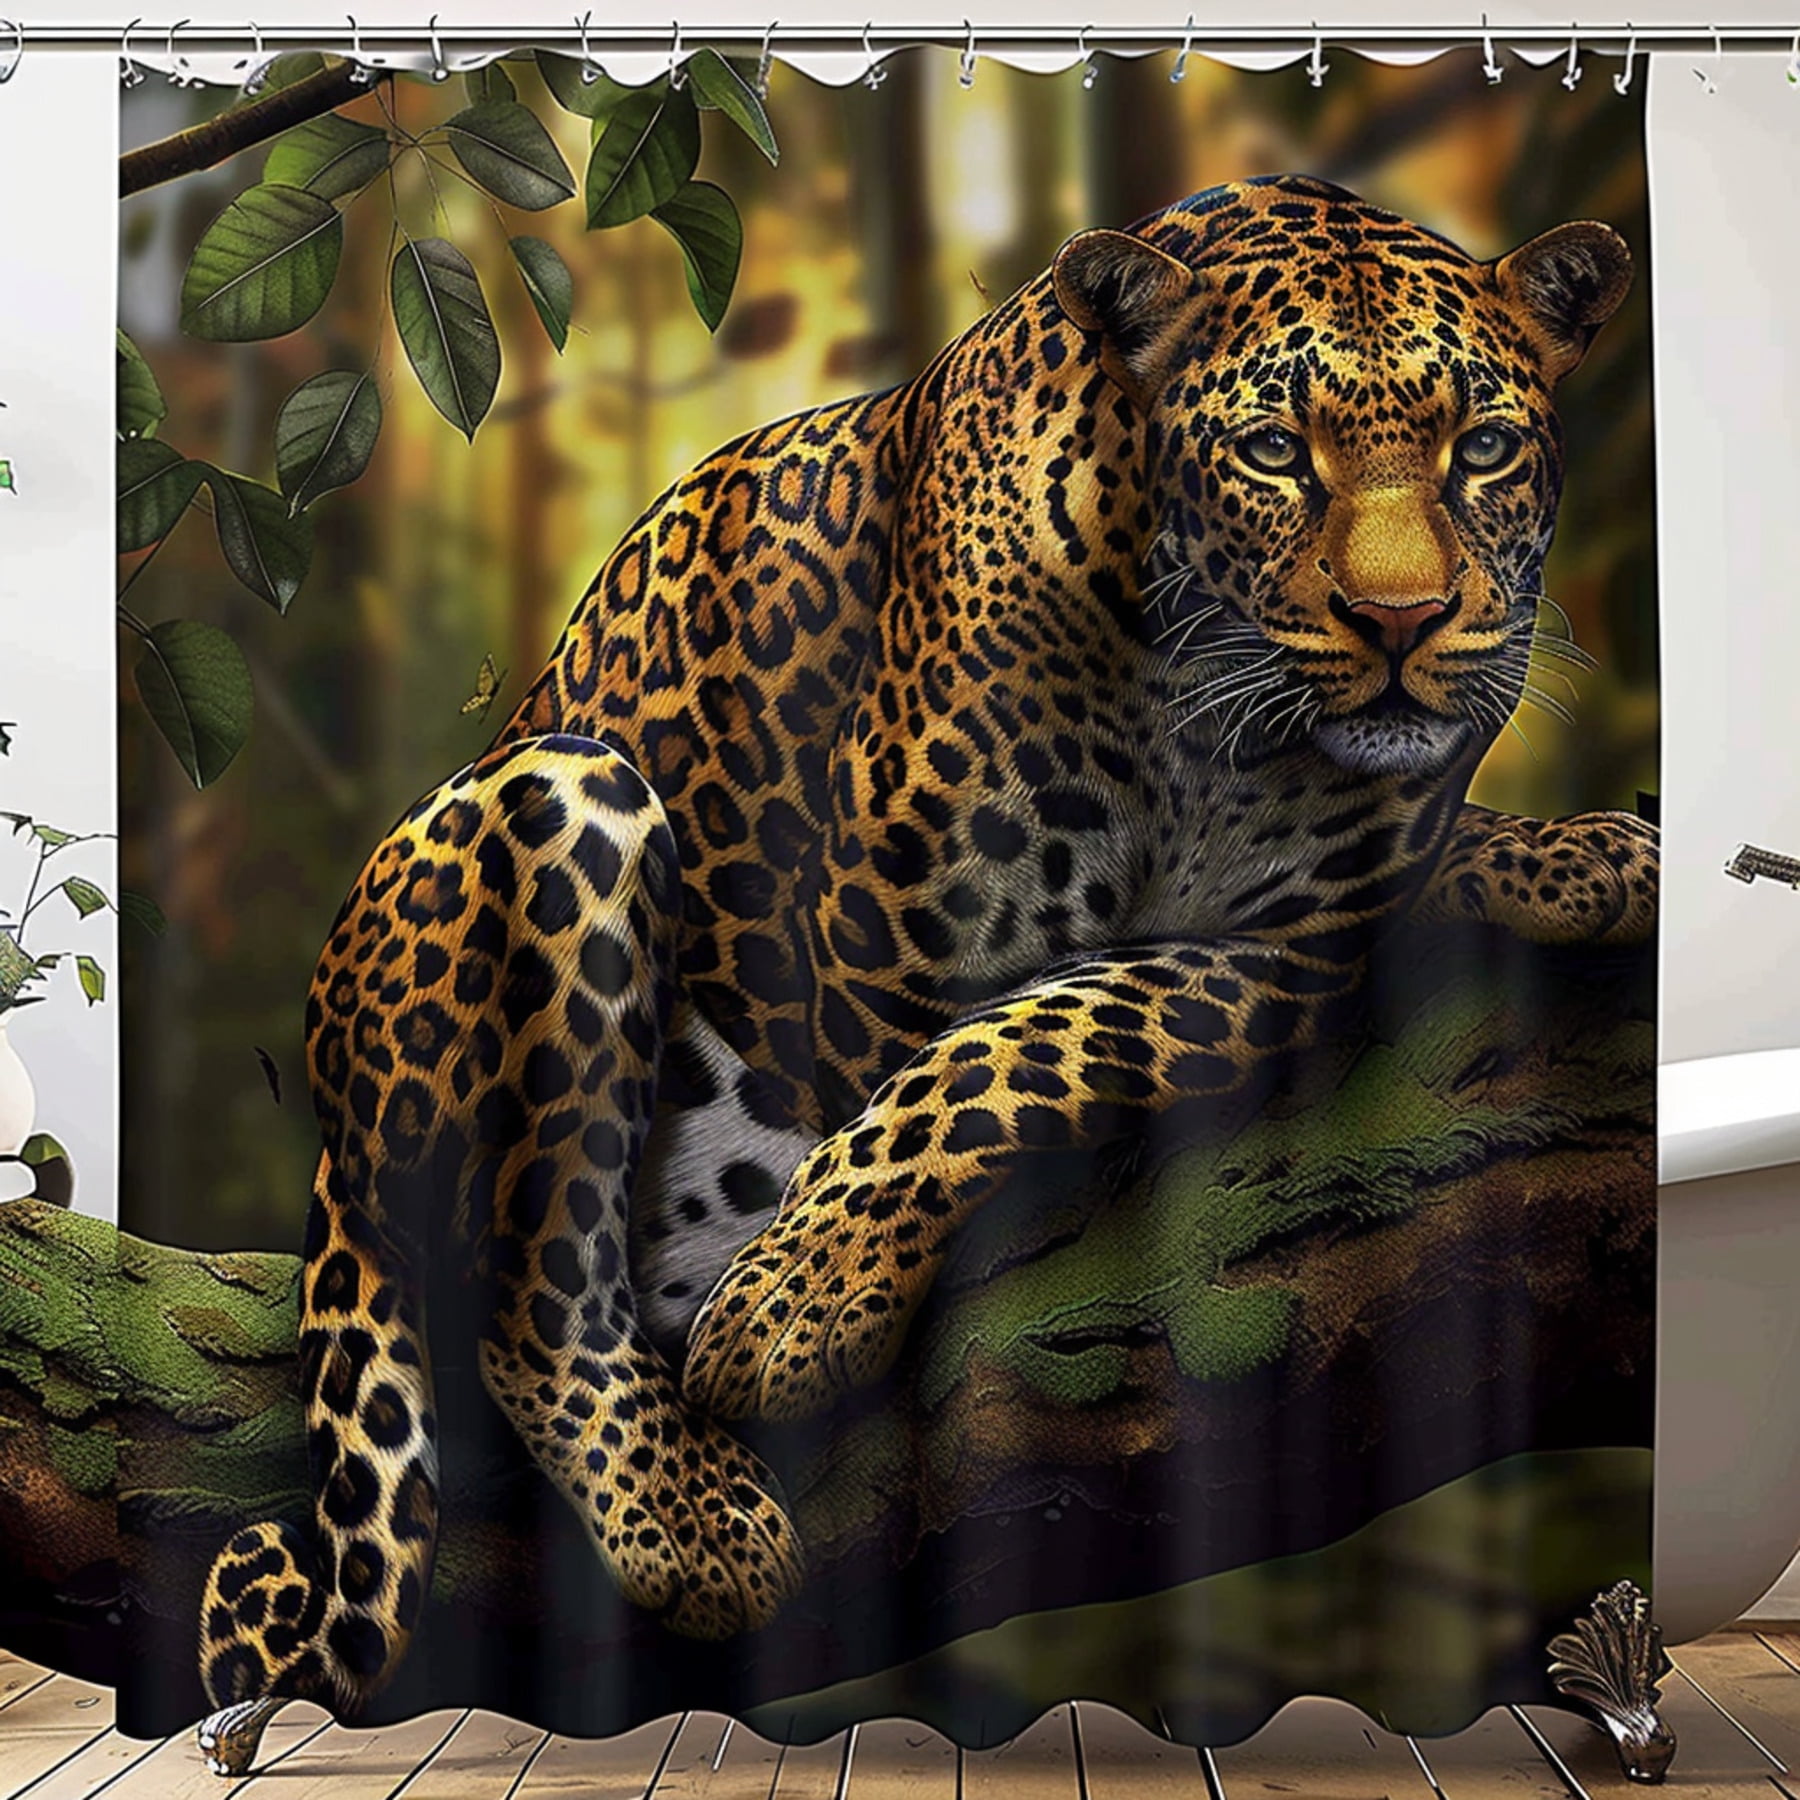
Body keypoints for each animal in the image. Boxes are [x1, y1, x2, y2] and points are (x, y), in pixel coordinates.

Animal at [194, 174, 1657, 1774]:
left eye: (1484, 450)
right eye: (1275, 452)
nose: (1401, 626)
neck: (1210, 731)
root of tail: (329, 1124)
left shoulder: (1297, 948)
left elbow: (1062, 1024)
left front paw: (1591, 853)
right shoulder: (884, 966)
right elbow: (971, 1065)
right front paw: (791, 1317)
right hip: (557, 796)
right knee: (529, 1286)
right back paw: (689, 1516)